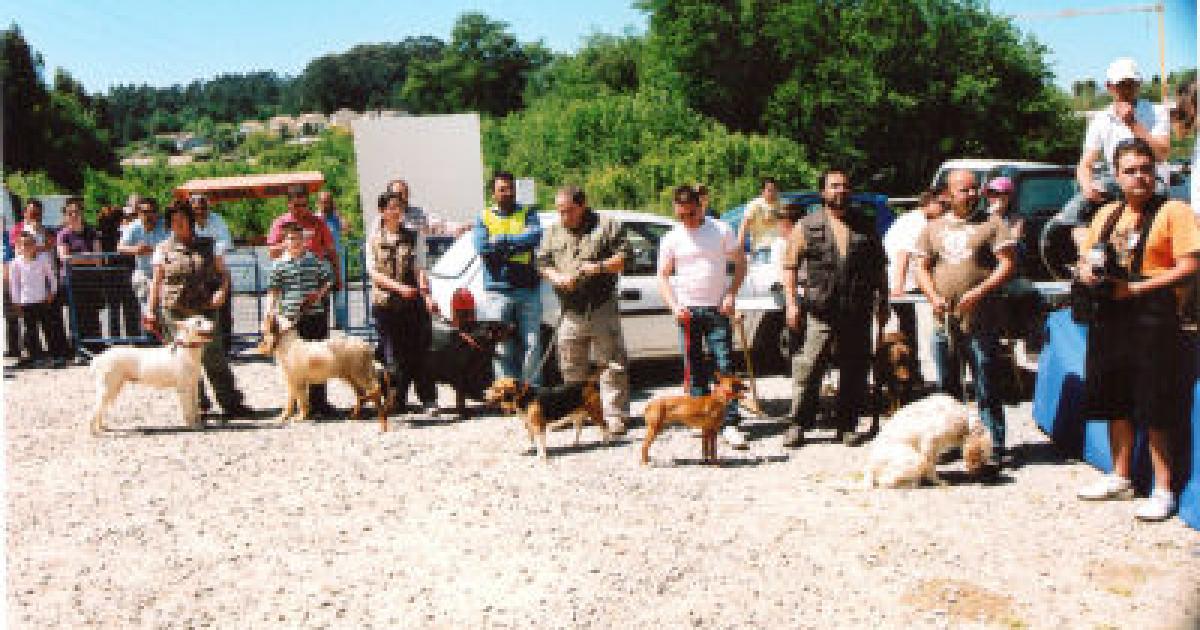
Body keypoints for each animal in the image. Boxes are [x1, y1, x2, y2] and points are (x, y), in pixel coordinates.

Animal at [864, 391, 993, 489]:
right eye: (982, 453)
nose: (980, 474)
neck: (963, 419)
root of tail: (870, 468)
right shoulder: (929, 444)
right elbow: (931, 468)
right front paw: (939, 482)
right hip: (916, 458)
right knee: (884, 482)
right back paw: (911, 483)